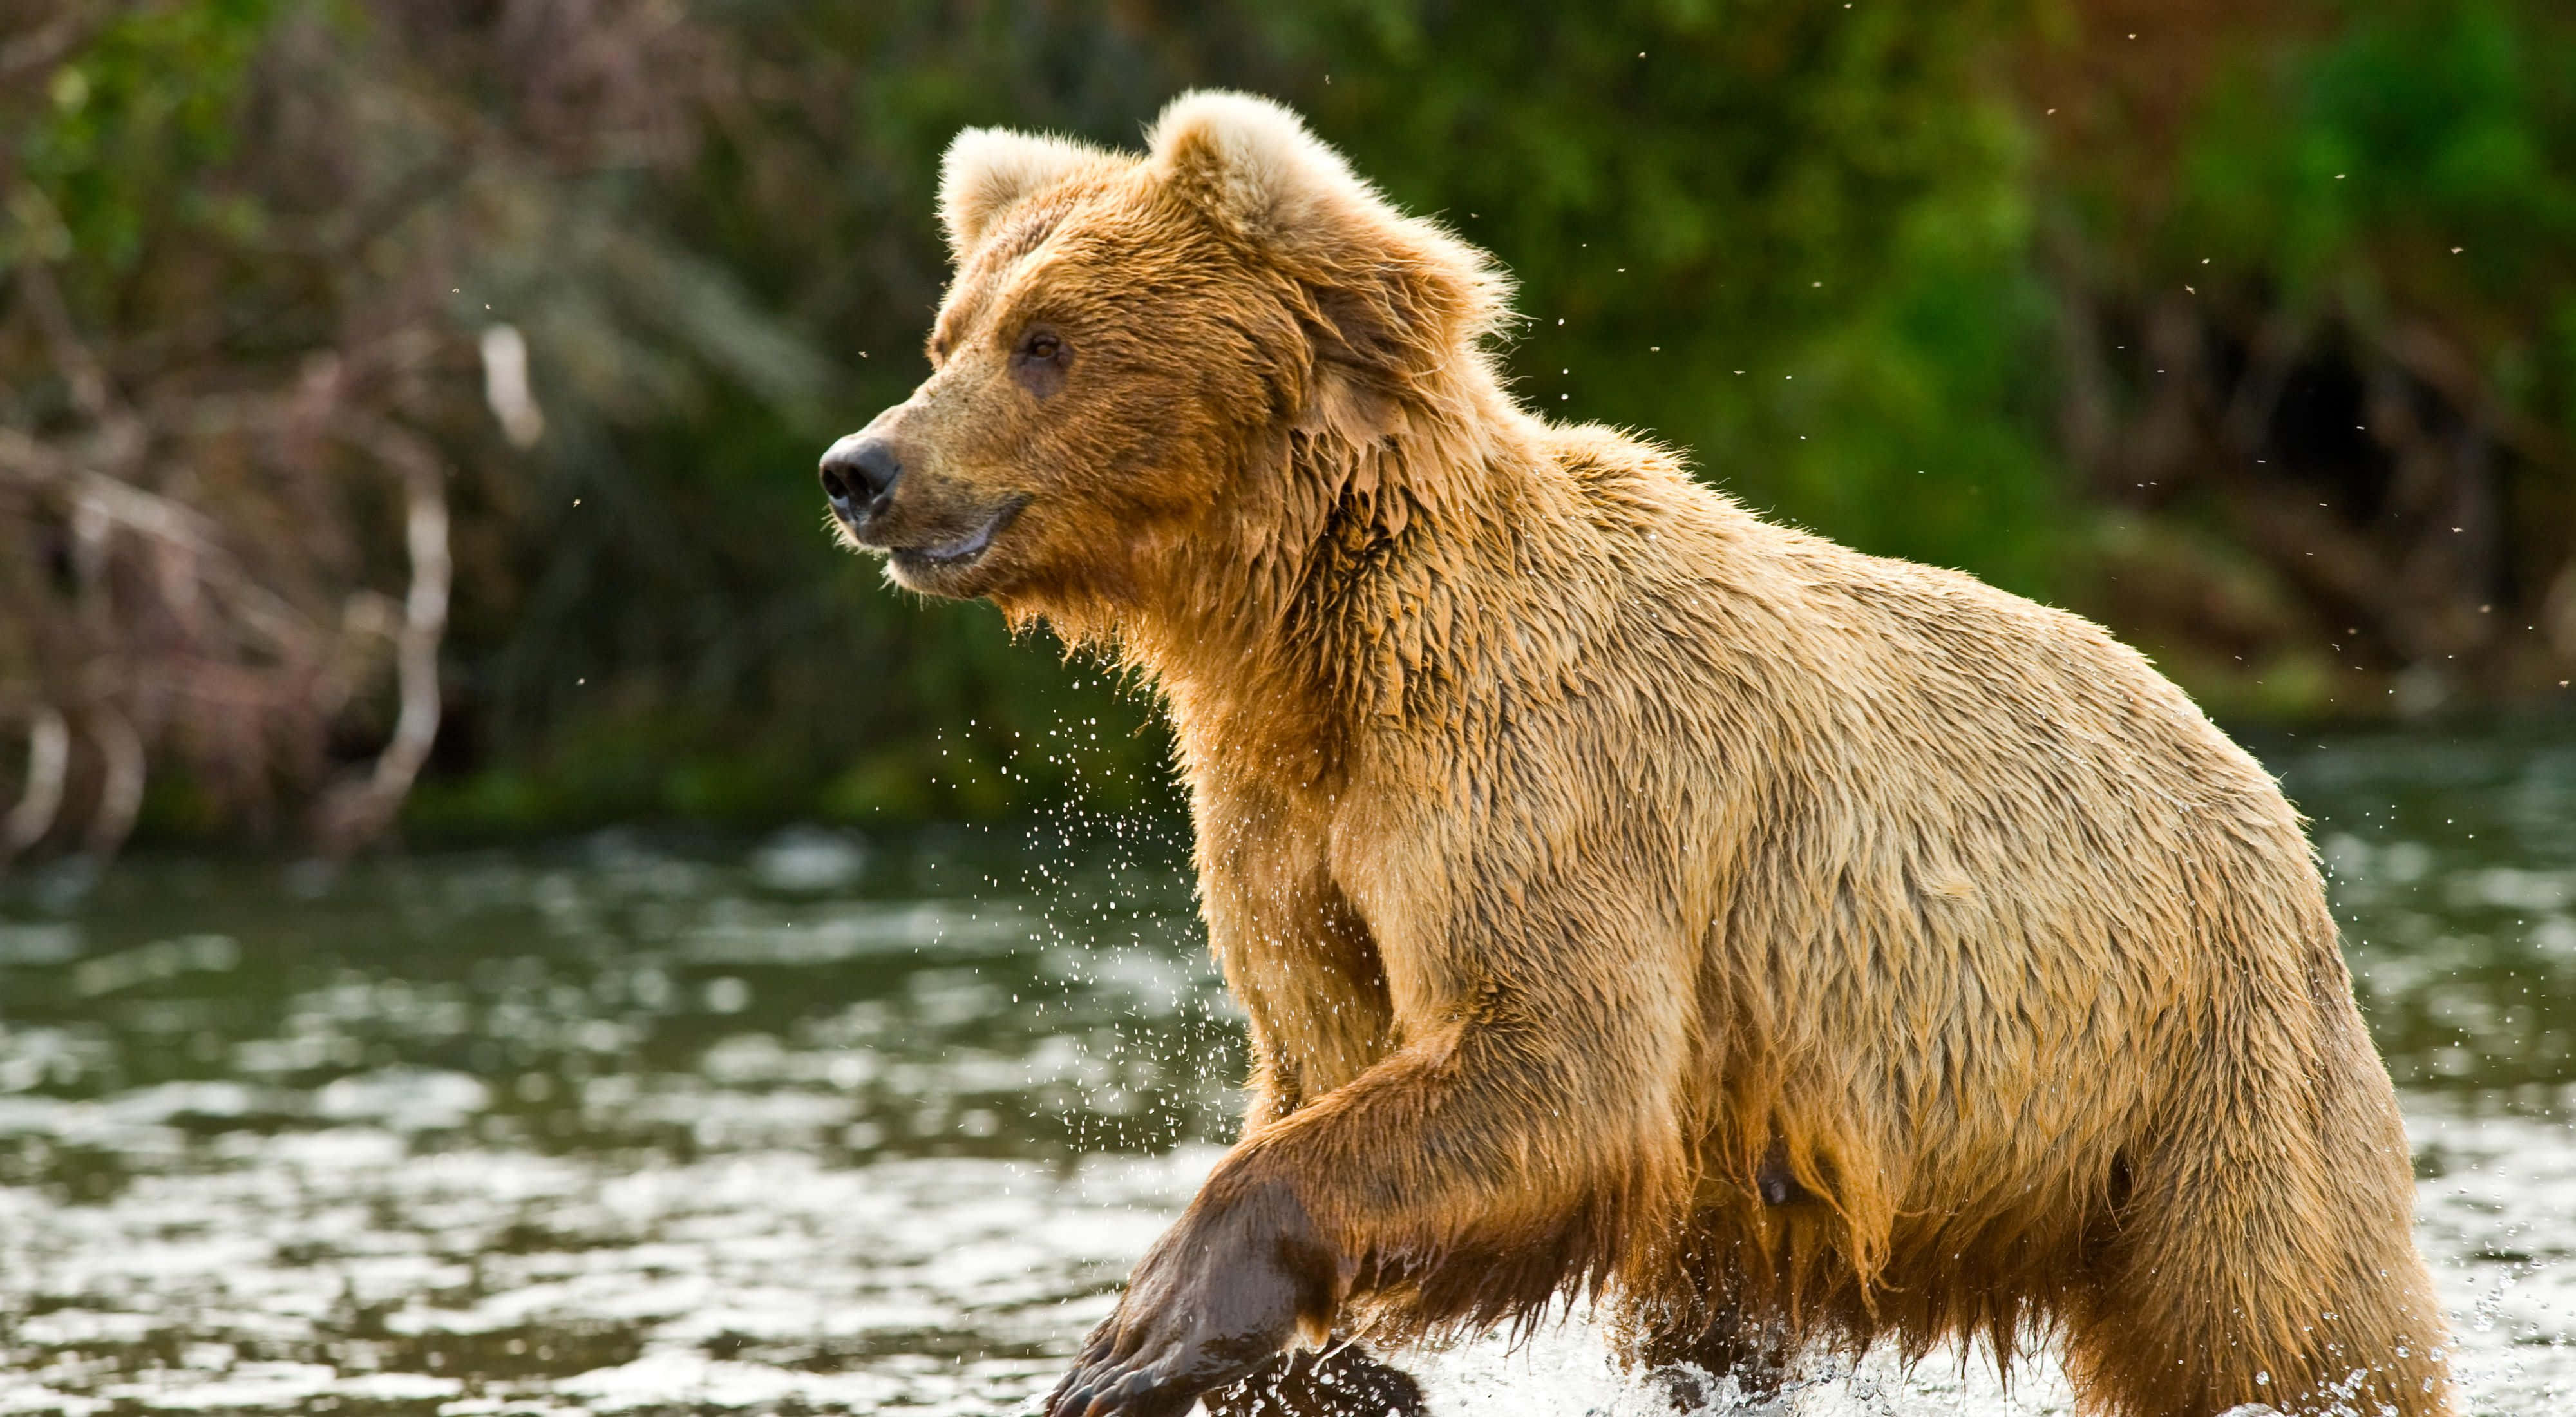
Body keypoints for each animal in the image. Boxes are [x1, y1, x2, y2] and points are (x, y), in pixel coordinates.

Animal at [816, 91, 2453, 1417]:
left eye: (1047, 344)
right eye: (952, 334)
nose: (860, 467)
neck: (1307, 636)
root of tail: (2247, 769)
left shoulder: (1537, 774)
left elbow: (1556, 1053)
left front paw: (1144, 1330)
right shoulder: (1286, 821)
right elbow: (1326, 1050)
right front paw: (1315, 1362)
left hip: (2188, 1065)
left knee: (2273, 1317)